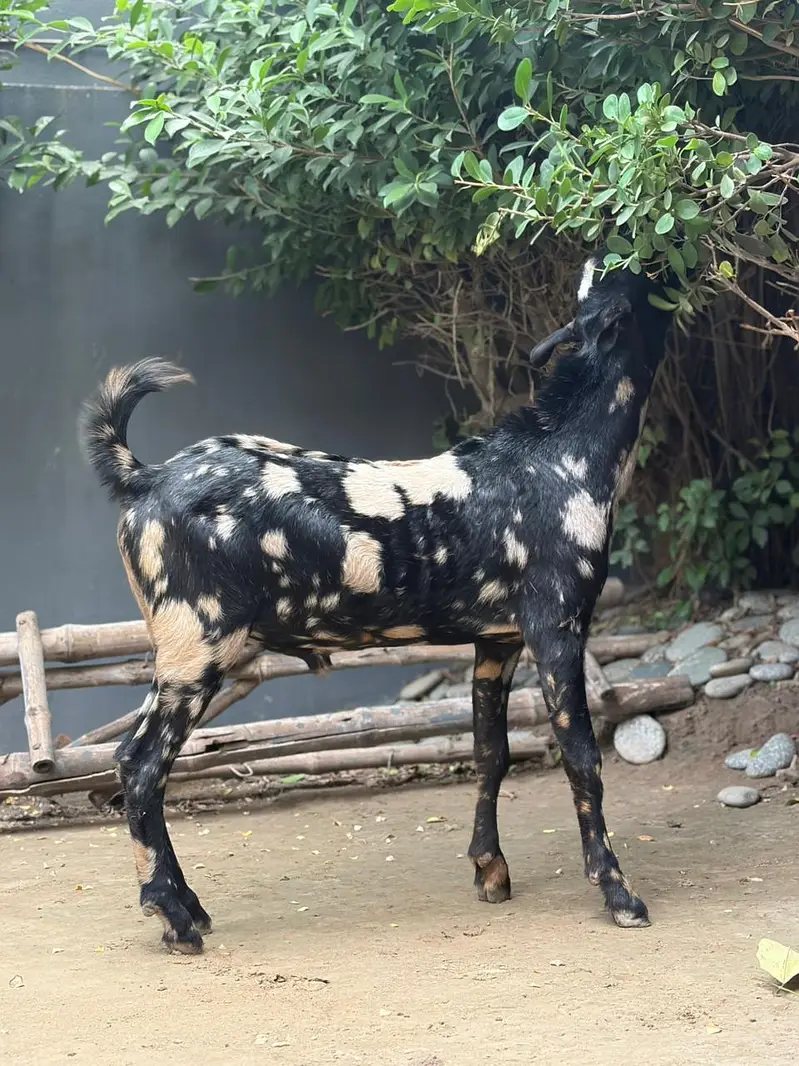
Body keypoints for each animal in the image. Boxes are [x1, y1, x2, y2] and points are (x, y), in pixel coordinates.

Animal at [79, 253, 672, 954]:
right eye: (646, 278)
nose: (670, 263)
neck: (558, 458)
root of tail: (144, 477)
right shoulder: (558, 628)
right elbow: (583, 759)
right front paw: (618, 894)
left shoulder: (496, 640)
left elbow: (490, 754)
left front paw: (490, 871)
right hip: (196, 648)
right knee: (141, 765)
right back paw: (174, 918)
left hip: (180, 655)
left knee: (137, 764)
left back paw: (189, 909)